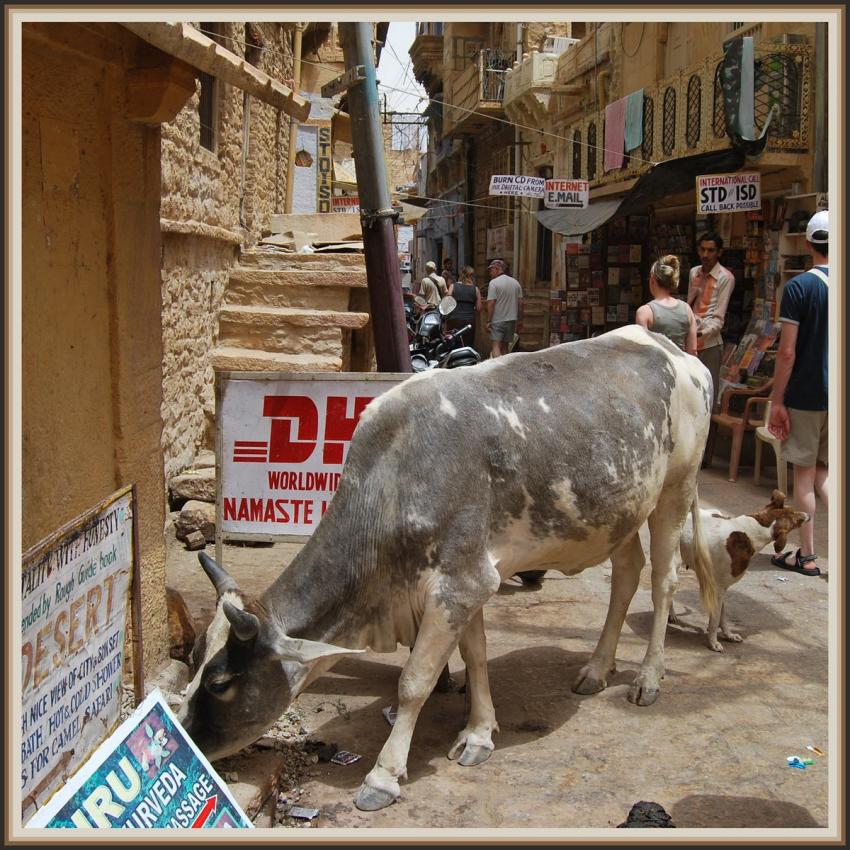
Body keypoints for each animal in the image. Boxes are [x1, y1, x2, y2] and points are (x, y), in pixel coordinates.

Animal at [177, 325, 717, 812]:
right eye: (194, 656)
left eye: (220, 682)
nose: (183, 738)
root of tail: (673, 349)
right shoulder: (469, 582)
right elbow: (475, 656)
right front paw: (479, 732)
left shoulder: (460, 584)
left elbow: (414, 681)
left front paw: (384, 776)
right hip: (619, 512)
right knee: (626, 575)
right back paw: (597, 668)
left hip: (677, 488)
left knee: (663, 581)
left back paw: (648, 678)